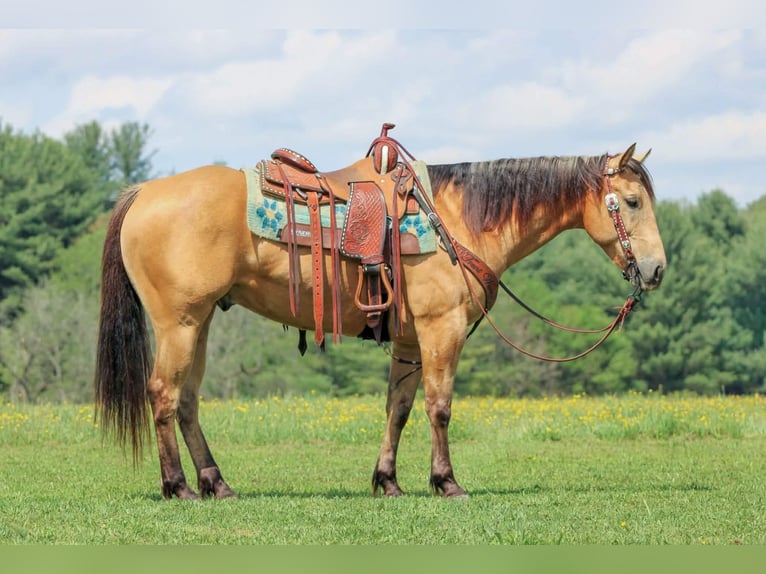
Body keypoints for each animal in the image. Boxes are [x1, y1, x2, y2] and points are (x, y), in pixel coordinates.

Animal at [94, 135, 666, 500]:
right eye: (632, 201)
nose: (657, 269)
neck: (457, 221)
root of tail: (143, 193)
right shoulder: (442, 330)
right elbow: (439, 407)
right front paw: (446, 482)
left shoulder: (410, 342)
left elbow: (399, 409)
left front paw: (388, 481)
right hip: (179, 323)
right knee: (163, 395)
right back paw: (178, 487)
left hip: (201, 322)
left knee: (188, 401)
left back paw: (216, 483)